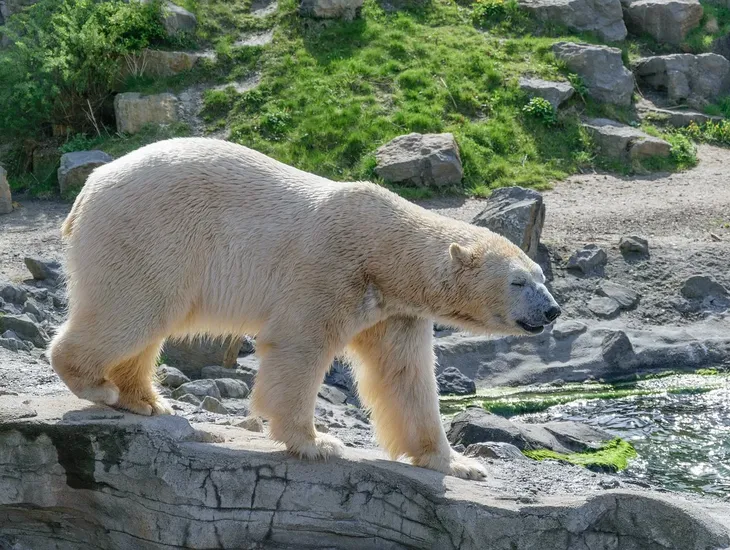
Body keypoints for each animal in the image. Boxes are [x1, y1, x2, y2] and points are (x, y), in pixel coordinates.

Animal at [49, 137, 560, 480]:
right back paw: (98, 386)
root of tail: (88, 189)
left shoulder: (394, 310)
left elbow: (405, 376)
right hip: (151, 233)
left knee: (148, 321)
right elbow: (301, 346)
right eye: (518, 281)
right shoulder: (330, 268)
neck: (384, 252)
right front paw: (317, 443)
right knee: (131, 309)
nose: (552, 311)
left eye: (541, 276)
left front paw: (457, 463)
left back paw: (146, 400)